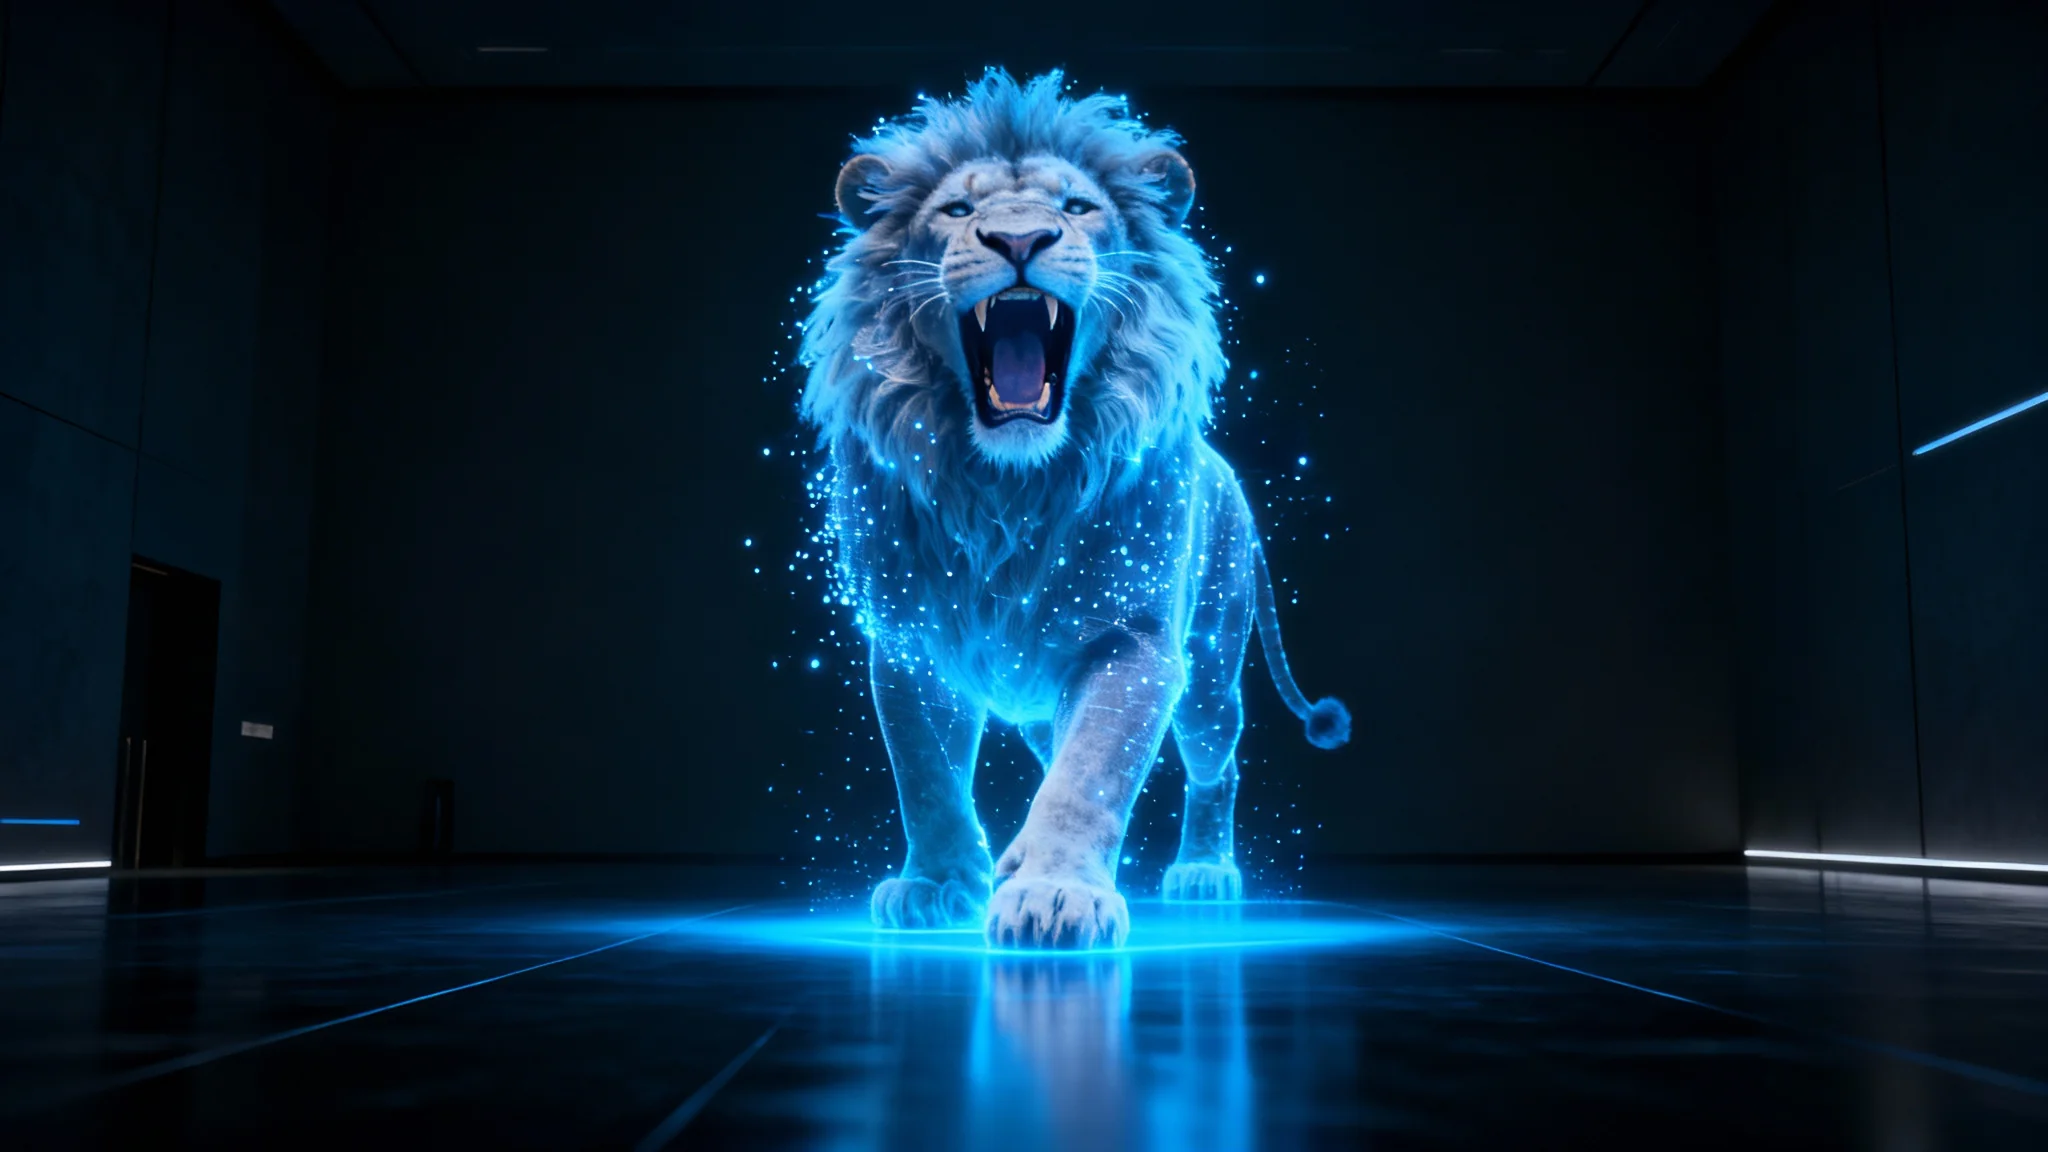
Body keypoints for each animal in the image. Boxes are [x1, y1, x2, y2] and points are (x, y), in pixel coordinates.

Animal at [797, 69, 1349, 950]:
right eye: (958, 209)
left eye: (1079, 206)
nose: (1020, 240)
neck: (1006, 492)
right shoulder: (911, 639)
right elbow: (925, 771)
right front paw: (938, 885)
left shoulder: (1136, 642)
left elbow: (1091, 770)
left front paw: (1054, 896)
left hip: (1210, 671)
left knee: (1215, 762)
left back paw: (1203, 873)